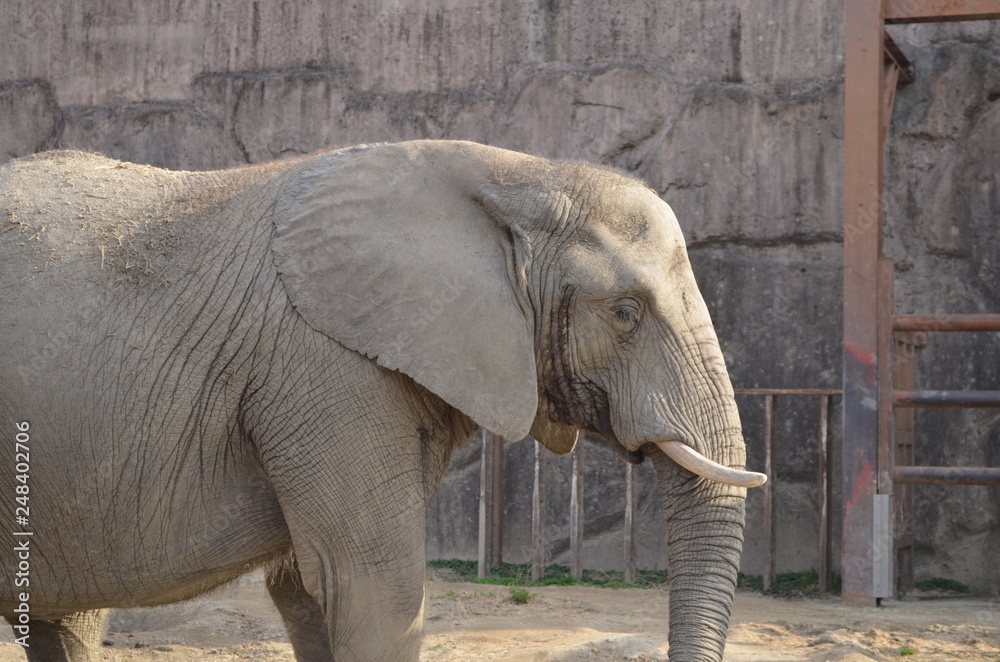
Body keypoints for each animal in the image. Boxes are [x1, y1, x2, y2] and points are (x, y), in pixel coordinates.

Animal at [0, 140, 765, 661]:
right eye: (626, 313)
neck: (514, 177)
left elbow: (310, 593)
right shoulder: (324, 368)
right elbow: (371, 584)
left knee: (67, 620)